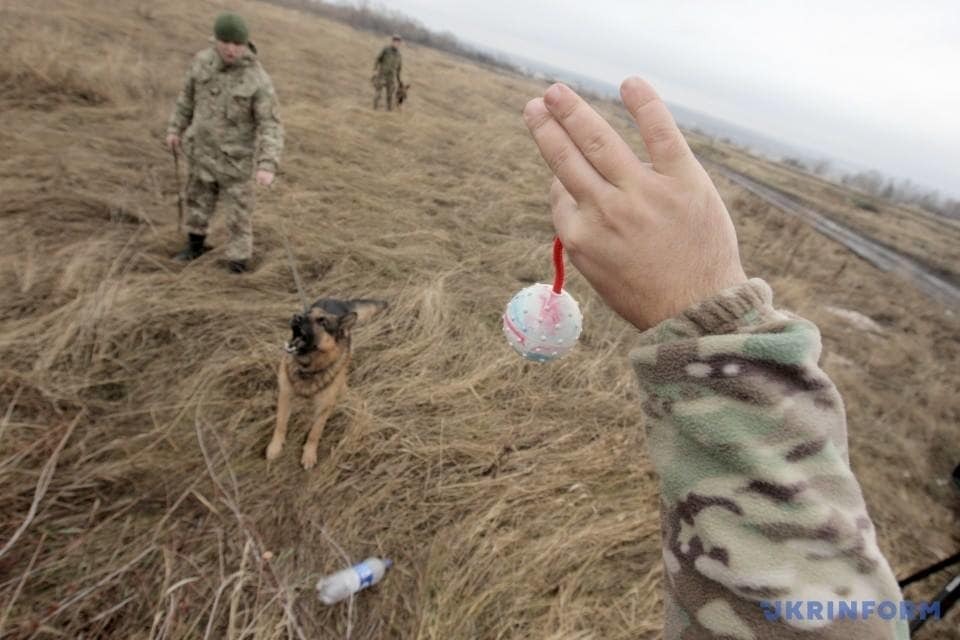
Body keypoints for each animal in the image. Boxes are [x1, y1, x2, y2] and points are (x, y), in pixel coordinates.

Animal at [266, 298, 386, 468]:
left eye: (323, 322)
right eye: (307, 313)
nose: (296, 316)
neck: (308, 368)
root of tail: (338, 300)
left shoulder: (324, 407)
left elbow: (315, 432)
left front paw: (309, 454)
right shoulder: (285, 395)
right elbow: (281, 423)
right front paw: (275, 446)